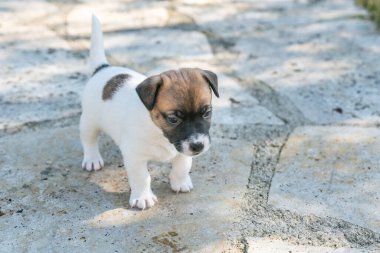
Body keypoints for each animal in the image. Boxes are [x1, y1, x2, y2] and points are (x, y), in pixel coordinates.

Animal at [79, 15, 218, 210]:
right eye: (173, 119)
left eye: (206, 113)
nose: (198, 146)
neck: (158, 131)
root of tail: (103, 68)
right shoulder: (135, 157)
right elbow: (142, 177)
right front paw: (143, 197)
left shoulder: (182, 149)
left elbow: (182, 165)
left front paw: (180, 182)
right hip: (89, 122)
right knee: (89, 140)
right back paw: (92, 159)